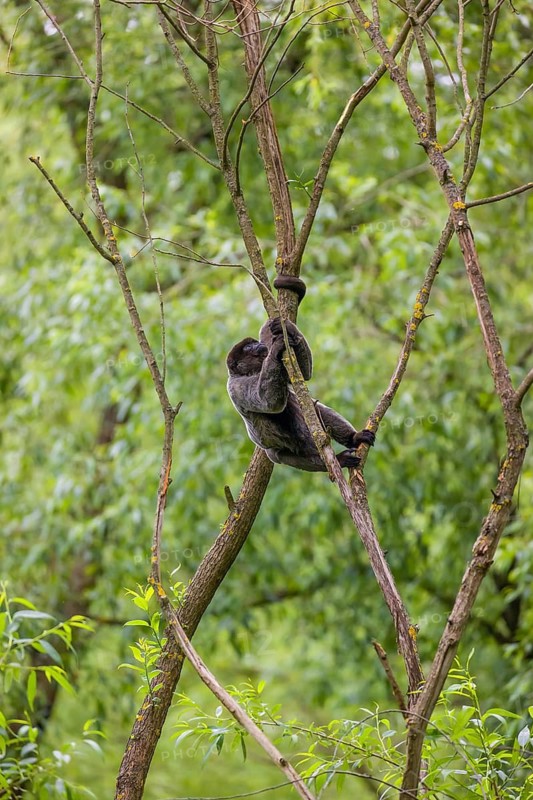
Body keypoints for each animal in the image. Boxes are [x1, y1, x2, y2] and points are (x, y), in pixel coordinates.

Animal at [226, 317, 375, 472]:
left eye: (254, 342)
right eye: (248, 347)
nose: (258, 344)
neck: (252, 372)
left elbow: (304, 373)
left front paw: (285, 326)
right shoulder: (238, 386)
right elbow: (270, 403)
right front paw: (276, 348)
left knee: (315, 408)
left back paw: (354, 438)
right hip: (276, 453)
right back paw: (339, 460)